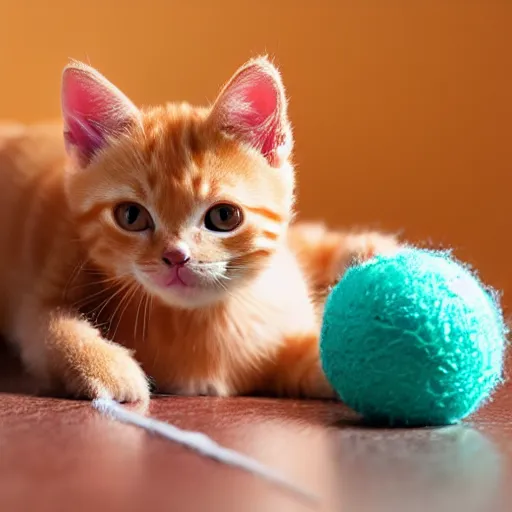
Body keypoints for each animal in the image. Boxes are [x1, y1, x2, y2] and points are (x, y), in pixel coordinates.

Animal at [0, 56, 396, 400]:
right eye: (131, 216)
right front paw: (109, 369)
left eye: (224, 217)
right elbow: (53, 329)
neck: (204, 324)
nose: (176, 256)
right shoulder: (45, 293)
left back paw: (369, 250)